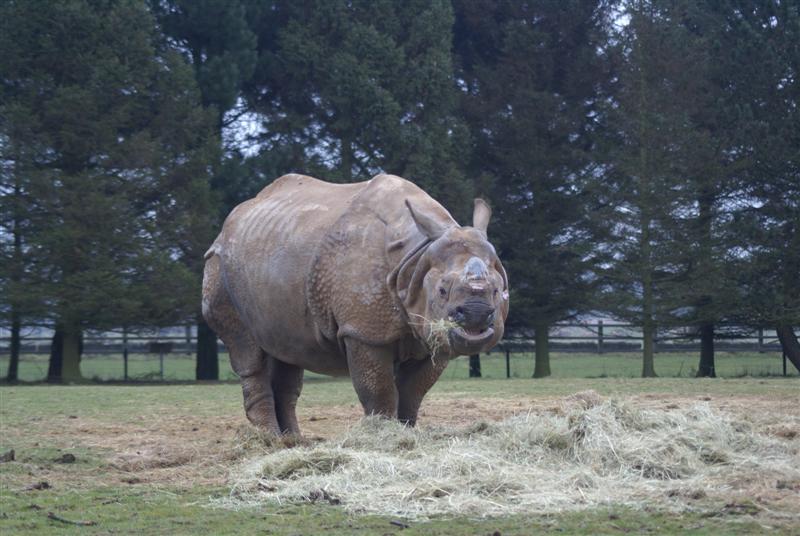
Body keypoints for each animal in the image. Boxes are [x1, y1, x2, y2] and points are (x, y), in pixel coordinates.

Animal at [202, 174, 508, 434]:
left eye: (497, 291)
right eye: (443, 291)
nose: (476, 315)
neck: (416, 256)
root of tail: (225, 227)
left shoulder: (432, 332)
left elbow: (413, 391)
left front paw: (407, 432)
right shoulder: (363, 330)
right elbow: (379, 390)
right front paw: (383, 434)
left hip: (275, 253)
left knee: (288, 349)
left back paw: (294, 442)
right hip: (218, 267)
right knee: (247, 347)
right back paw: (271, 440)